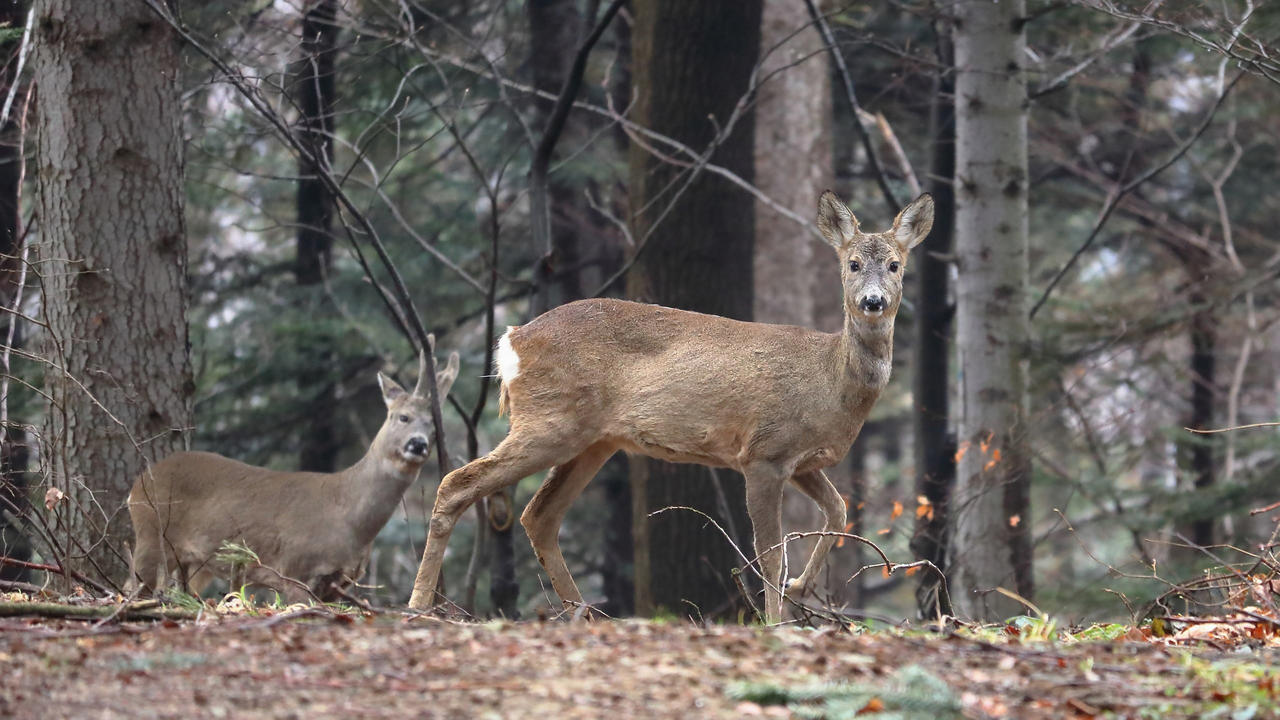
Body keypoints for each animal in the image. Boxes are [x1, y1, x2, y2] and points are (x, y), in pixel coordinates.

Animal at [128, 348, 460, 599]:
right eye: (402, 417)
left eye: (434, 428)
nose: (418, 444)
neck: (348, 516)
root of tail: (138, 484)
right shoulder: (293, 568)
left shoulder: (339, 583)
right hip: (151, 532)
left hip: (196, 562)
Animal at [414, 190, 936, 622]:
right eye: (853, 264)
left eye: (895, 265)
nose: (872, 302)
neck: (829, 379)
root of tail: (512, 339)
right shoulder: (763, 452)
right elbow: (769, 552)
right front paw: (775, 620)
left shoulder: (803, 461)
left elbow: (839, 511)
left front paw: (800, 587)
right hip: (548, 421)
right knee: (458, 483)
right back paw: (419, 605)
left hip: (593, 440)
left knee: (537, 515)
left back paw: (584, 613)